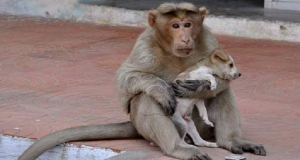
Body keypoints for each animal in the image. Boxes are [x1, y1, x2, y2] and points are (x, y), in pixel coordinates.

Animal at [17, 2, 266, 160]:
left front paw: (205, 86)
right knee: (146, 99)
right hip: (158, 125)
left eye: (188, 24)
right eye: (175, 25)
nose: (185, 38)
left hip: (200, 128)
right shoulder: (145, 44)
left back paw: (230, 141)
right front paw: (165, 88)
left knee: (222, 95)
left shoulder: (209, 39)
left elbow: (221, 84)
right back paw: (178, 147)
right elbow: (127, 80)